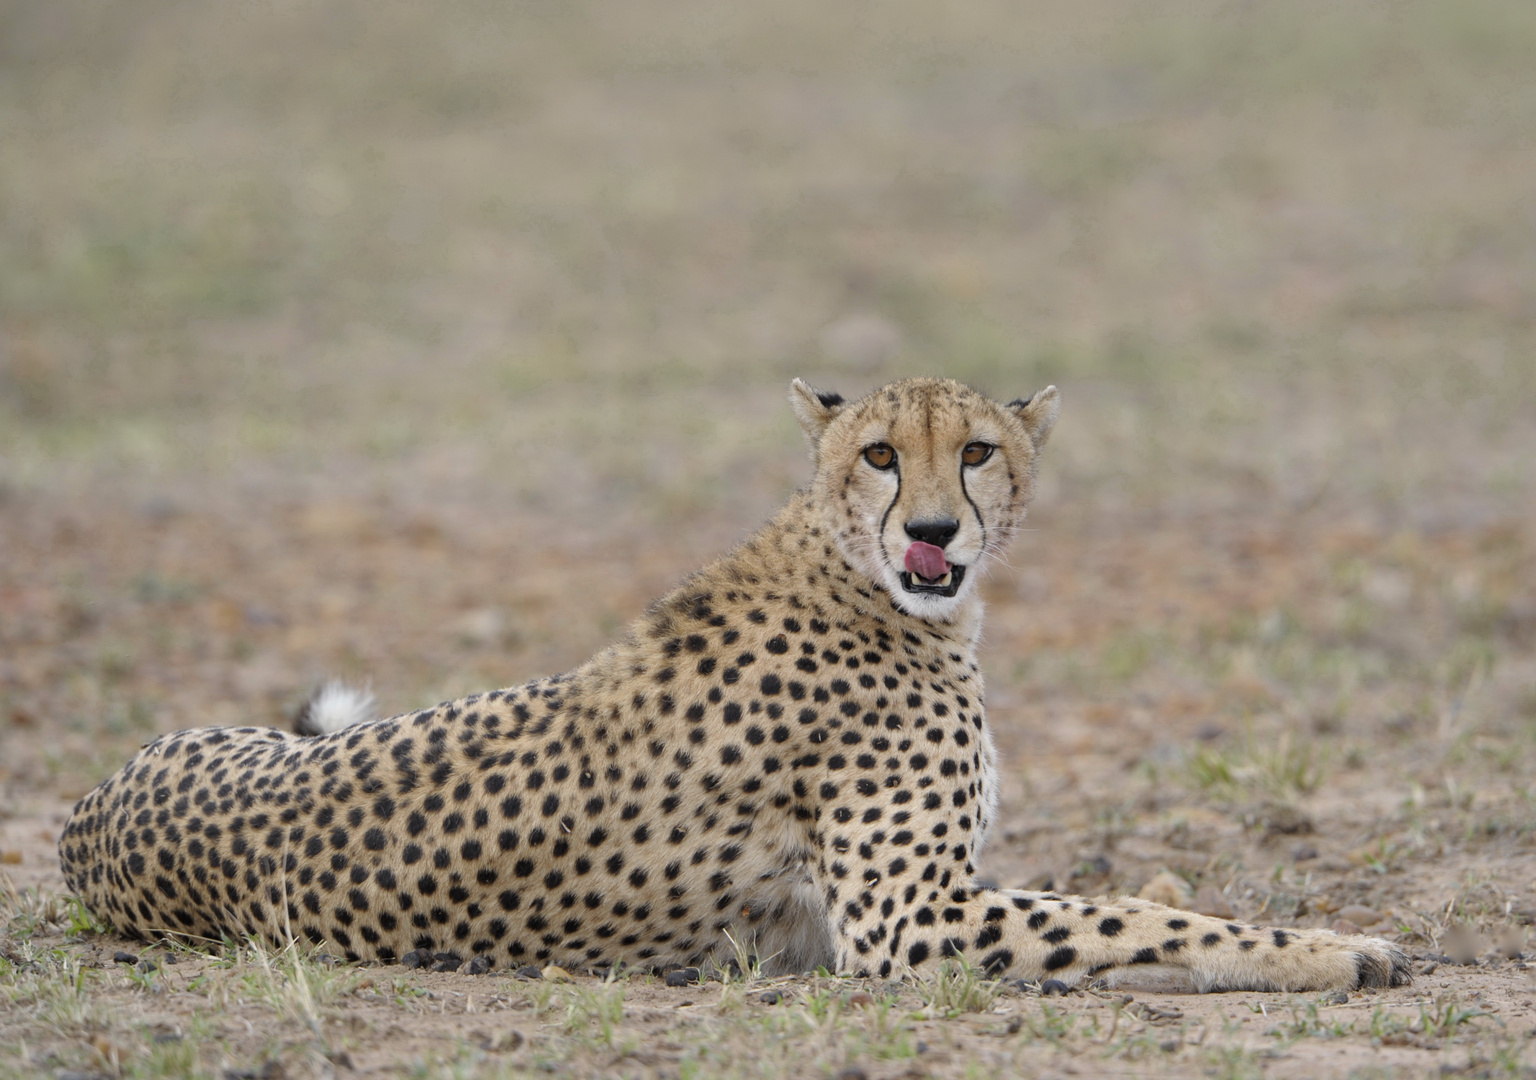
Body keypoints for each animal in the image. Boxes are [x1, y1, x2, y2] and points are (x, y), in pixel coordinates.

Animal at [59, 376, 1406, 995]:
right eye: (881, 454)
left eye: (977, 451)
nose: (933, 533)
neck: (860, 574)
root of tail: (85, 820)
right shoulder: (905, 924)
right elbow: (1139, 924)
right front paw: (1338, 950)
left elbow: (1134, 896)